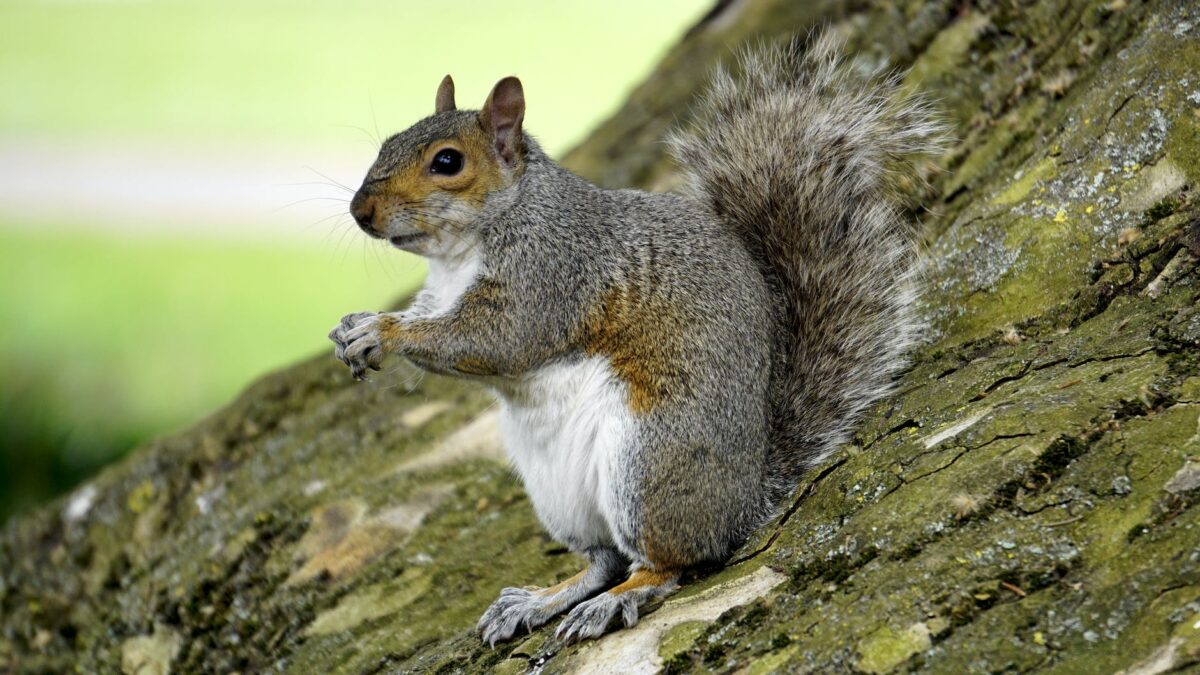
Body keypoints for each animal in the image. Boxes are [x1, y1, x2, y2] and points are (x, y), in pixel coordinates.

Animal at [329, 33, 944, 645]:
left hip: (648, 463)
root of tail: (744, 501)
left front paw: (383, 332)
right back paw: (543, 599)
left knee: (669, 562)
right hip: (561, 495)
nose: (361, 211)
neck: (465, 248)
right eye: (389, 142)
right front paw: (353, 327)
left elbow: (495, 340)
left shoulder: (550, 276)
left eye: (447, 162)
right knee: (604, 560)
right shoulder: (442, 293)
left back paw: (617, 599)